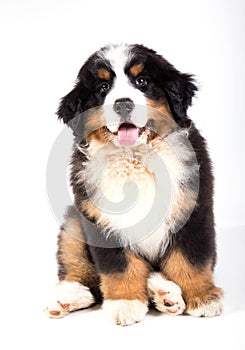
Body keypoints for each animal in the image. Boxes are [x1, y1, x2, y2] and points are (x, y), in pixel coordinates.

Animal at [45, 43, 223, 326]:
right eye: (103, 87)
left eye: (141, 81)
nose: (123, 105)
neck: (135, 158)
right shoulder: (102, 221)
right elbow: (120, 267)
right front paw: (125, 303)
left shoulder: (193, 210)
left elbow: (191, 259)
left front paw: (202, 297)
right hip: (73, 221)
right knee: (78, 269)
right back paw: (67, 297)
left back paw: (165, 293)